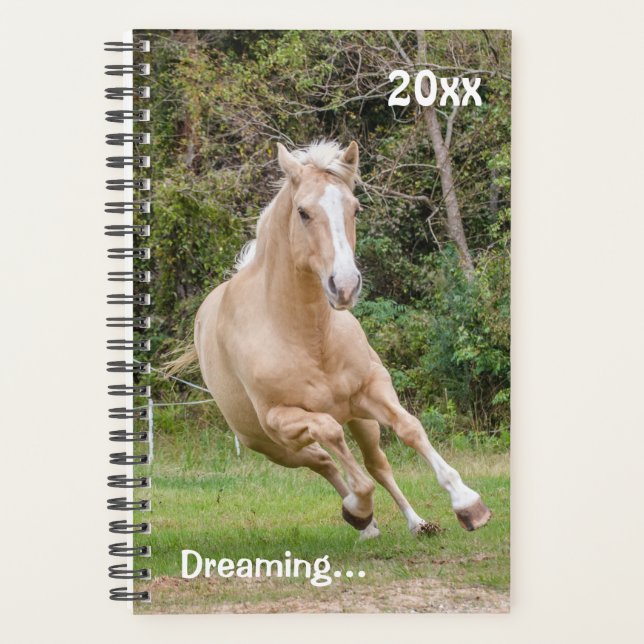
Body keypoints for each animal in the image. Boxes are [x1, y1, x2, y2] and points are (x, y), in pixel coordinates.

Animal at [172, 140, 491, 539]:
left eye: (355, 208)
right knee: (323, 461)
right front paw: (359, 509)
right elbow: (332, 436)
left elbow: (410, 429)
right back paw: (363, 521)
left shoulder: (372, 388)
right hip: (274, 446)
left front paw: (467, 503)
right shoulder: (282, 419)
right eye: (303, 212)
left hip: (358, 420)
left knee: (375, 463)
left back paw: (415, 523)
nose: (345, 285)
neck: (307, 336)